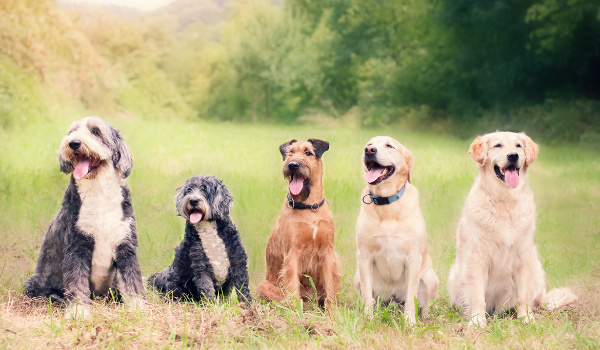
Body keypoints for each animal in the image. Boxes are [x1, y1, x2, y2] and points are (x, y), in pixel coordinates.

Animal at [23, 117, 146, 318]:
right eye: (72, 132)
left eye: (96, 131)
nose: (73, 143)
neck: (98, 191)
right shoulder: (77, 246)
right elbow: (77, 283)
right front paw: (78, 312)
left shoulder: (125, 245)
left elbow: (132, 280)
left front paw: (138, 308)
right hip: (32, 283)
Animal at [151, 175, 252, 304]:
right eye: (189, 189)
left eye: (205, 189)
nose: (193, 200)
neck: (207, 228)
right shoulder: (201, 266)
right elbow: (206, 288)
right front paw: (212, 306)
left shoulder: (238, 261)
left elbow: (242, 286)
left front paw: (247, 305)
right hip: (174, 283)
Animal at [258, 138, 342, 310]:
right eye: (290, 153)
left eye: (308, 152)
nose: (292, 165)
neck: (309, 208)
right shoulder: (293, 253)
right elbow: (292, 286)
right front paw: (296, 311)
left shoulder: (327, 252)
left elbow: (330, 286)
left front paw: (332, 312)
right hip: (264, 286)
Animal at [354, 135, 438, 324]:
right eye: (369, 144)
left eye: (389, 146)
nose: (369, 150)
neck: (387, 203)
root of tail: (392, 299)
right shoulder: (364, 255)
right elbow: (367, 295)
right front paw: (367, 318)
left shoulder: (413, 258)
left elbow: (411, 298)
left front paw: (409, 323)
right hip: (357, 277)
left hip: (430, 277)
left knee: (425, 304)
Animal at [450, 131, 576, 328]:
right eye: (498, 145)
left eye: (518, 146)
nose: (513, 156)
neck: (504, 199)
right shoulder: (477, 257)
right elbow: (477, 296)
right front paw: (477, 321)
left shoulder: (523, 256)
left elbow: (523, 296)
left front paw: (527, 318)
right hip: (454, 275)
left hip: (536, 268)